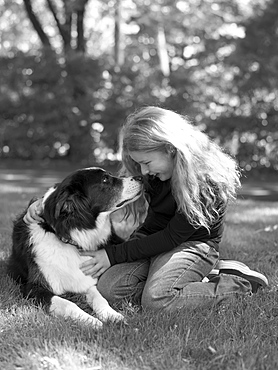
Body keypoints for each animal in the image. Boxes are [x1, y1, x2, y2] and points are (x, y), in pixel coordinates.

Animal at [7, 168, 142, 330]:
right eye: (105, 180)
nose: (141, 178)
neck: (70, 239)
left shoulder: (86, 280)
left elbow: (99, 298)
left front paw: (111, 315)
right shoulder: (34, 288)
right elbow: (68, 304)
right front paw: (91, 321)